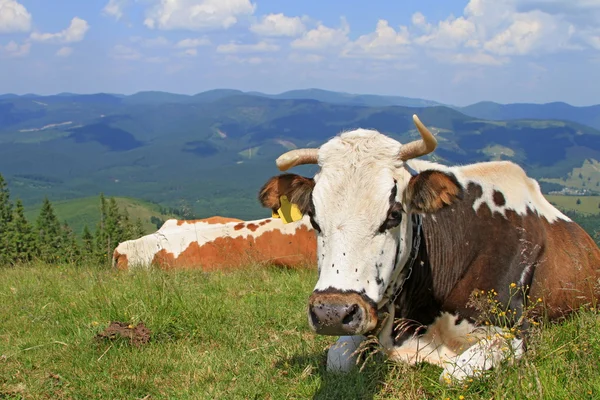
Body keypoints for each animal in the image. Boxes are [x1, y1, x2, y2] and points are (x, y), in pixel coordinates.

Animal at [258, 114, 600, 382]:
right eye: (314, 218)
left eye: (394, 214)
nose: (332, 312)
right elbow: (338, 360)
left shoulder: (514, 330)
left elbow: (453, 374)